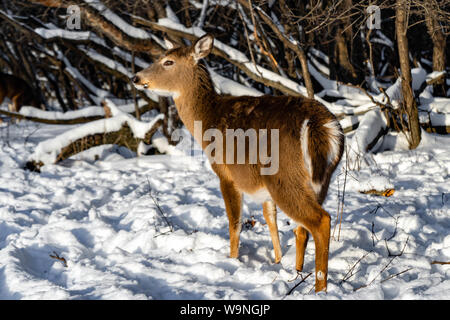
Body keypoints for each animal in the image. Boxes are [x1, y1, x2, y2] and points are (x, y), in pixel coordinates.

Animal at [133, 33, 344, 292]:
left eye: (168, 62)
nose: (136, 78)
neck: (207, 120)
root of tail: (320, 125)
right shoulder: (262, 186)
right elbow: (270, 219)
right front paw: (277, 261)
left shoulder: (226, 173)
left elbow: (234, 222)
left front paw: (232, 260)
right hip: (318, 181)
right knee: (302, 228)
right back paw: (297, 273)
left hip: (285, 176)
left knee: (320, 221)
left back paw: (319, 288)